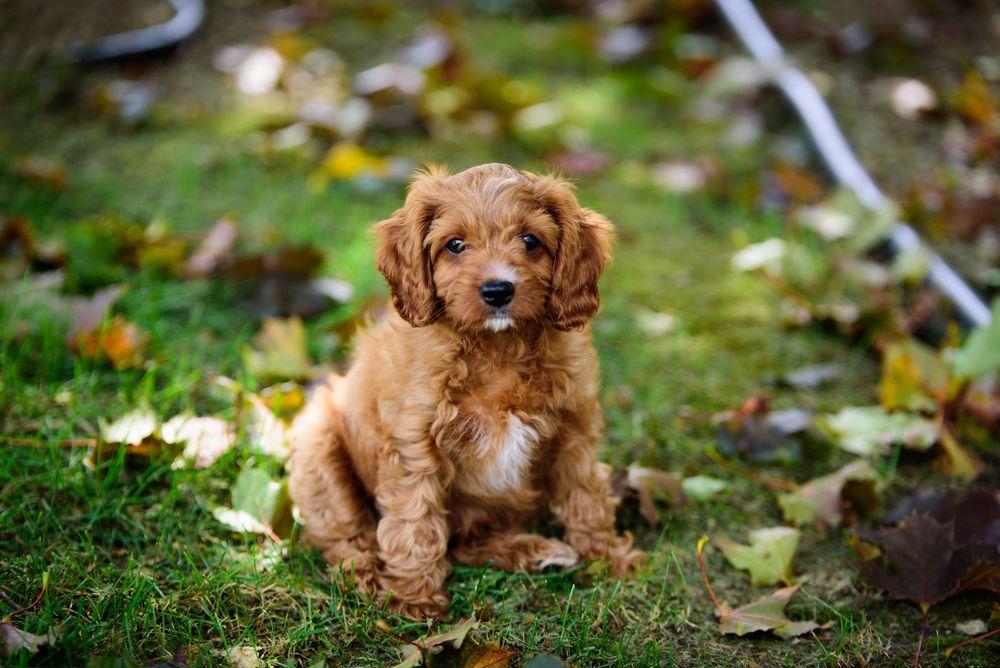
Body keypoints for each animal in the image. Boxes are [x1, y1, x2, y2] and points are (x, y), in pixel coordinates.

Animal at [288, 163, 640, 620]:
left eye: (530, 240)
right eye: (455, 245)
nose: (498, 290)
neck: (498, 347)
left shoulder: (575, 429)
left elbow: (587, 495)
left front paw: (607, 558)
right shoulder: (414, 443)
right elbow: (414, 519)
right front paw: (413, 597)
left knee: (464, 543)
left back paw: (534, 551)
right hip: (318, 444)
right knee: (345, 534)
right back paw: (365, 573)